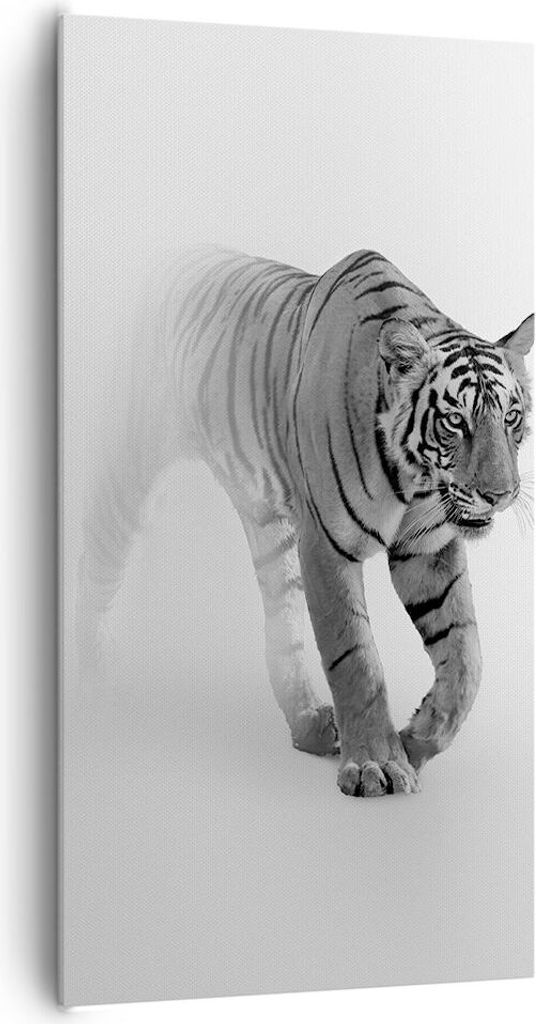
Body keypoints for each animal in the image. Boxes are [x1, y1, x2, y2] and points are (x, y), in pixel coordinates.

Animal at [78, 247, 533, 798]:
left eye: (511, 418)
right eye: (454, 421)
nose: (501, 494)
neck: (414, 478)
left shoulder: (426, 548)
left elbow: (466, 658)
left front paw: (417, 739)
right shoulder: (328, 546)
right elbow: (356, 657)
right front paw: (377, 764)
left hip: (269, 525)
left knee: (283, 625)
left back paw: (310, 726)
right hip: (131, 459)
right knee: (97, 557)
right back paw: (87, 672)